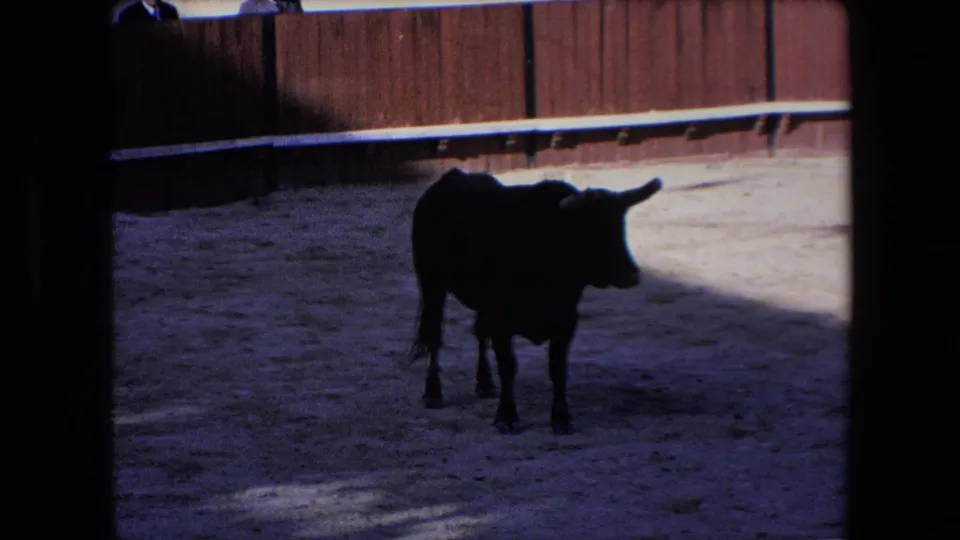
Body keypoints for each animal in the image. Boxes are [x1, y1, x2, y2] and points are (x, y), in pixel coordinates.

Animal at [408, 167, 663, 435]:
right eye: (592, 228)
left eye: (620, 224)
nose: (632, 274)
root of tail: (451, 177)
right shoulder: (501, 320)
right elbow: (508, 366)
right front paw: (506, 417)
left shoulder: (566, 320)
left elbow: (557, 368)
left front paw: (561, 418)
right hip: (432, 283)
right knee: (434, 335)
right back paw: (433, 392)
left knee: (478, 332)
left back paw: (484, 383)